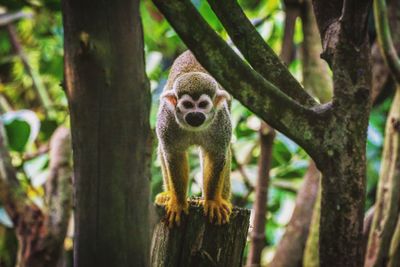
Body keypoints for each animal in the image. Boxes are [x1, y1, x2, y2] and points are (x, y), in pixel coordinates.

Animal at [155, 51, 233, 227]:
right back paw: (168, 194)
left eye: (203, 104)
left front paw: (212, 202)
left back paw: (223, 200)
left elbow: (217, 155)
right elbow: (173, 155)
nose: (195, 115)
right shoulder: (168, 119)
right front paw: (178, 202)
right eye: (188, 105)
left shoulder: (220, 120)